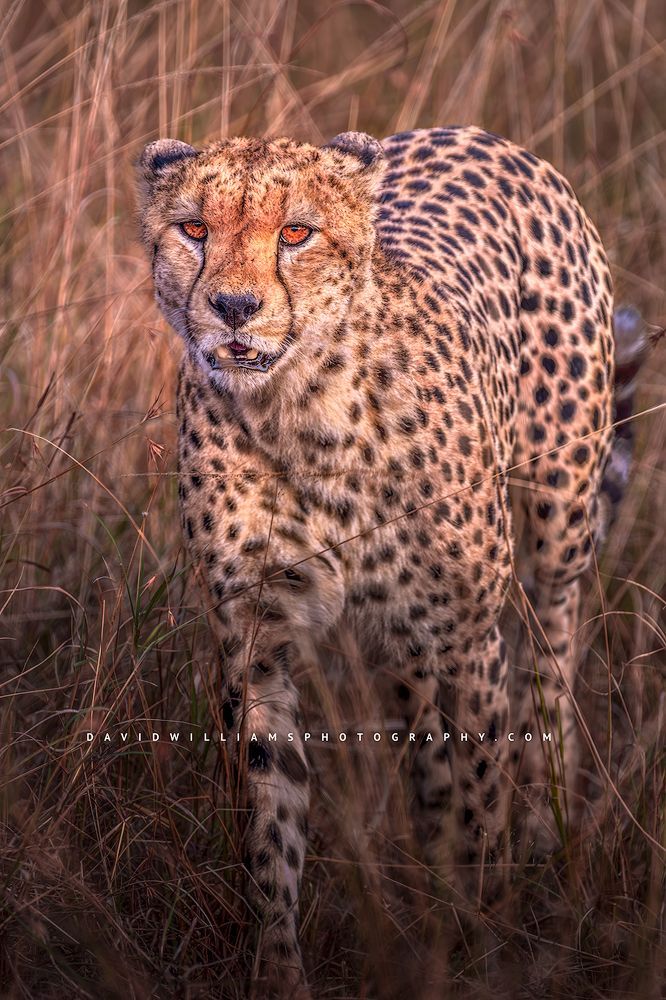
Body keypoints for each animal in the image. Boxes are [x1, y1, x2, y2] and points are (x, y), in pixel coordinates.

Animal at [136, 125, 649, 997]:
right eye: (194, 229)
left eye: (297, 233)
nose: (234, 309)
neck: (301, 410)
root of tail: (476, 134)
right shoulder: (255, 642)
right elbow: (271, 821)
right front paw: (279, 971)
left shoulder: (472, 639)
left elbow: (482, 795)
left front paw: (478, 940)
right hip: (403, 639)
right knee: (423, 743)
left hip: (559, 516)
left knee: (552, 654)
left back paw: (542, 828)